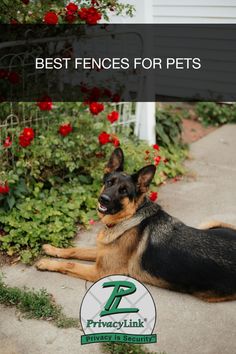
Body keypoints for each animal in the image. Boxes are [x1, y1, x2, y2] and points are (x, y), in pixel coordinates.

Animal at [36, 149, 236, 302]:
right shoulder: (101, 253)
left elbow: (69, 264)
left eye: (124, 191)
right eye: (109, 183)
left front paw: (46, 263)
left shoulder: (100, 272)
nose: (103, 199)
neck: (127, 218)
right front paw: (52, 249)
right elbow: (74, 250)